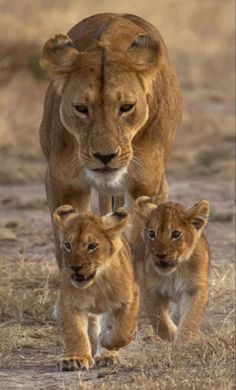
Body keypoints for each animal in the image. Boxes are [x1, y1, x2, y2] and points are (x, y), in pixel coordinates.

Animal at [40, 12, 183, 268]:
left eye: (126, 107)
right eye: (81, 108)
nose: (105, 156)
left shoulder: (149, 186)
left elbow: (141, 245)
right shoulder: (62, 186)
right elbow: (66, 243)